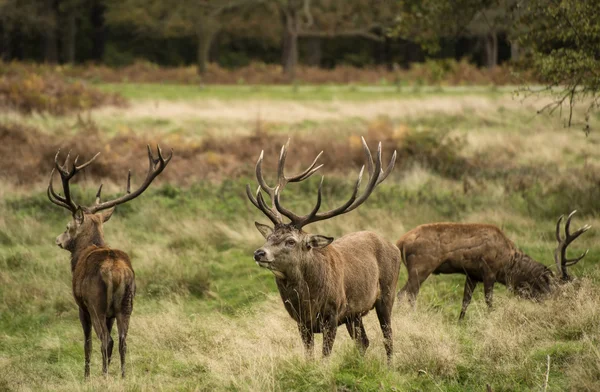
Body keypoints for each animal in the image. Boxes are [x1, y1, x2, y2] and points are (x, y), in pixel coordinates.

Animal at [47, 145, 171, 376]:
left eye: (68, 227)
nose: (58, 239)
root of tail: (117, 273)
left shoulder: (82, 305)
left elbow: (87, 343)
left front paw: (86, 375)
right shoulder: (112, 314)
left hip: (97, 304)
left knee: (106, 340)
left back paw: (104, 375)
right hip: (126, 304)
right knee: (122, 341)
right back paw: (122, 375)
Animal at [246, 139, 400, 362]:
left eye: (291, 241)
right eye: (269, 237)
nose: (259, 253)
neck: (308, 302)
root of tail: (394, 245)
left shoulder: (332, 315)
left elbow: (325, 356)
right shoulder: (302, 323)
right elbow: (309, 356)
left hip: (387, 293)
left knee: (388, 338)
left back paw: (390, 366)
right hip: (354, 313)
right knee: (363, 342)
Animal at [398, 213, 592, 320]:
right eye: (554, 287)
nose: (556, 305)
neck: (508, 264)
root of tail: (401, 241)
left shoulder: (472, 274)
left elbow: (465, 301)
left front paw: (460, 322)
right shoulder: (489, 271)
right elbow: (489, 300)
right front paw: (491, 317)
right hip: (421, 267)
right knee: (407, 294)